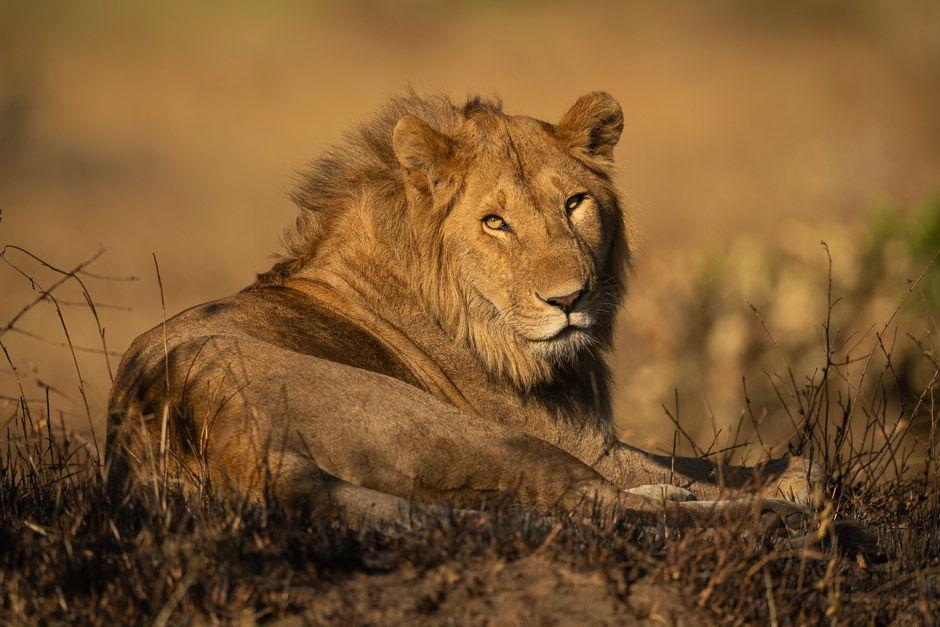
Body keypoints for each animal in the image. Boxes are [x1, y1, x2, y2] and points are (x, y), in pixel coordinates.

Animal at [105, 91, 816, 531]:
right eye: (494, 222)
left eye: (575, 203)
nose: (569, 301)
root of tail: (219, 427)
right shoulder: (583, 441)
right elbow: (724, 469)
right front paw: (784, 483)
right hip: (456, 427)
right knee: (596, 501)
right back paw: (778, 516)